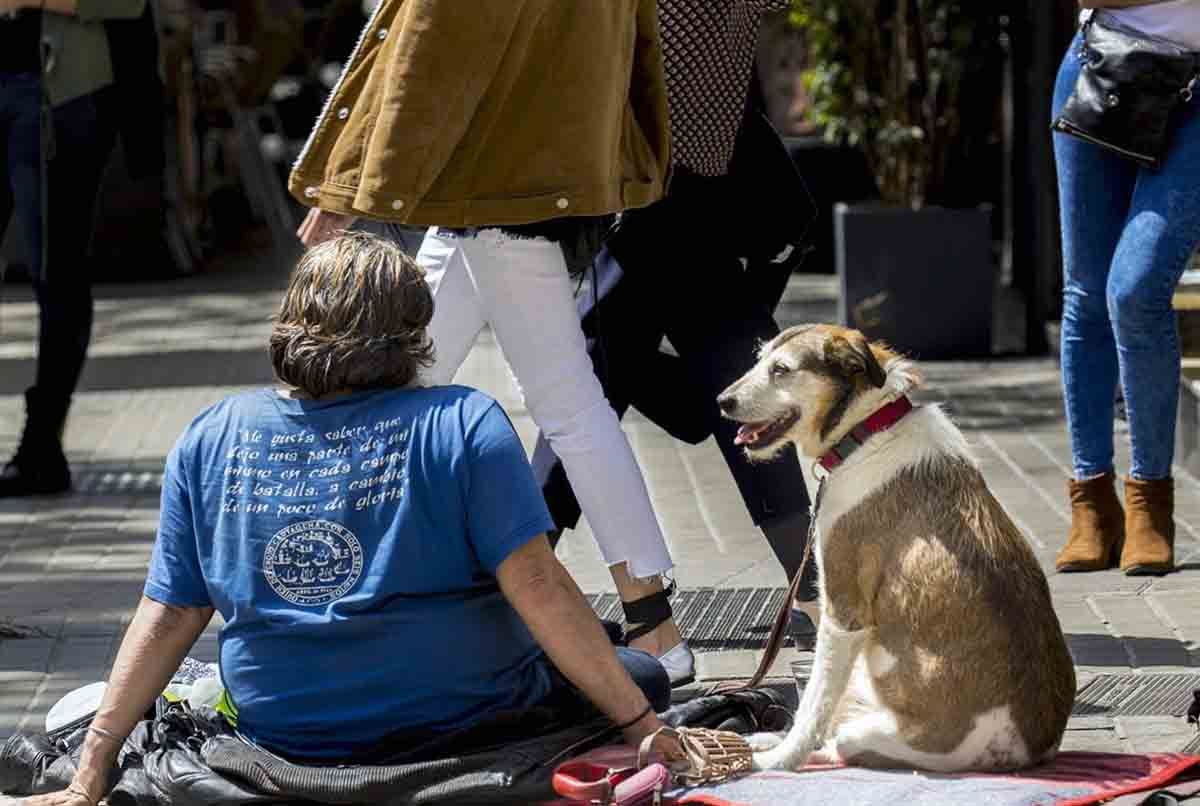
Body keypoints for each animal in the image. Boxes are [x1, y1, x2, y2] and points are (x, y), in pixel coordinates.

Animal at [715, 326, 1075, 772]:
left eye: (781, 370)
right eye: (760, 360)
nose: (722, 402)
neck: (867, 431)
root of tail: (1029, 747)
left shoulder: (843, 613)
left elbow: (814, 706)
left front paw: (779, 761)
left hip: (867, 734)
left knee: (837, 740)